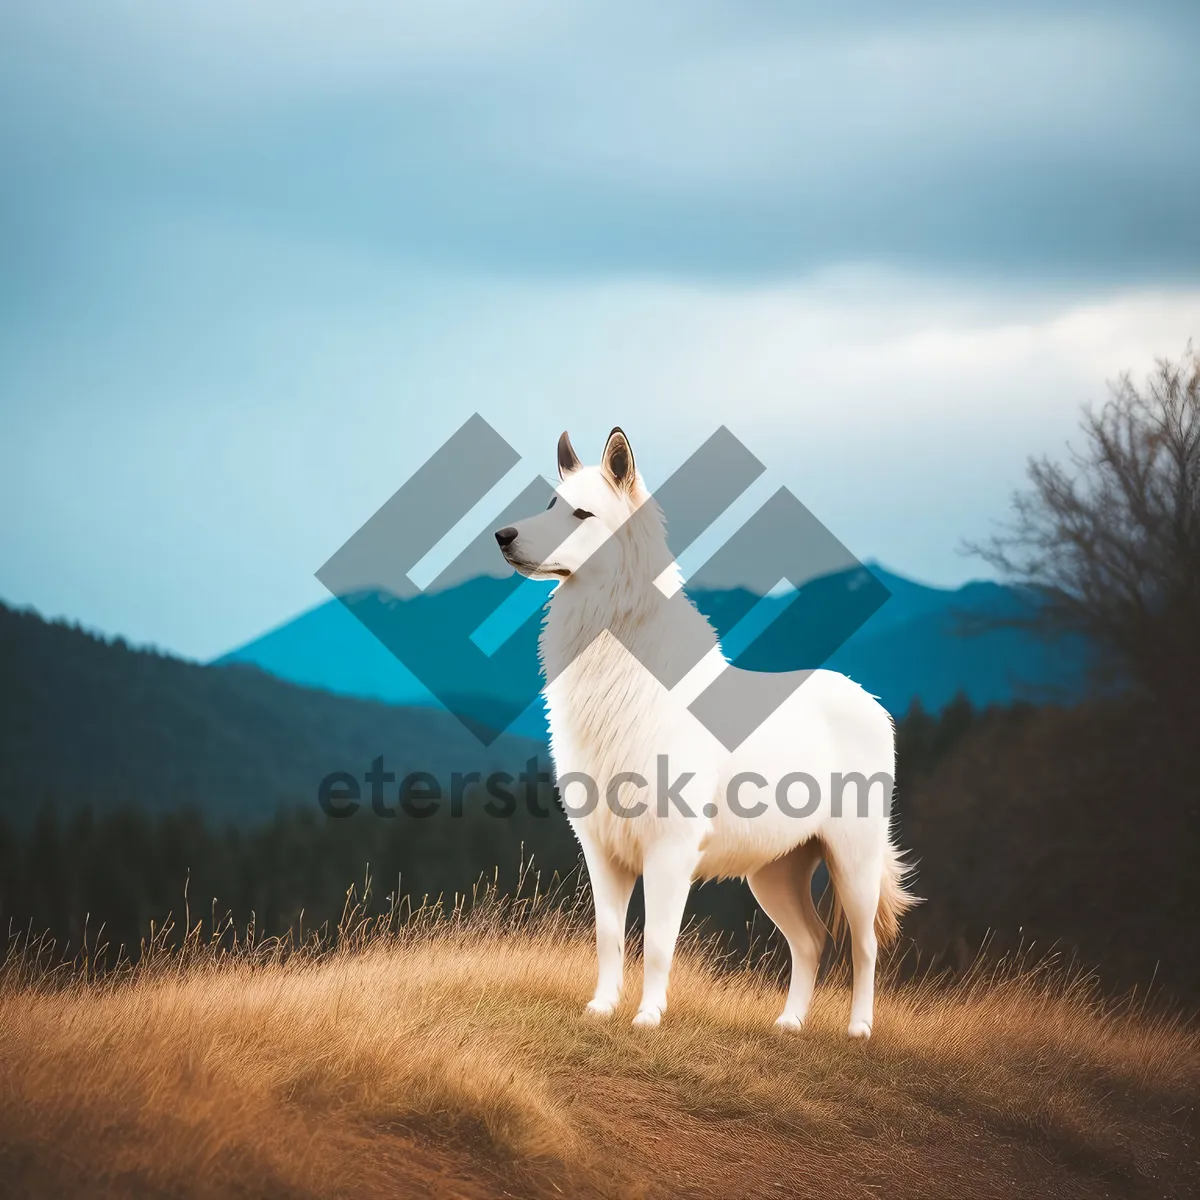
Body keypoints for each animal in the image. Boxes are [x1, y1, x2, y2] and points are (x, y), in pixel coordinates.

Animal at [492, 427, 912, 1036]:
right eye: (549, 504)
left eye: (580, 513)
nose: (502, 535)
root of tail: (874, 703)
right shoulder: (601, 849)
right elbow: (609, 939)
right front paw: (601, 1010)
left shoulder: (670, 850)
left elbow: (658, 945)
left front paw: (647, 1018)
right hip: (774, 872)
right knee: (811, 941)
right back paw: (789, 1025)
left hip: (853, 859)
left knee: (864, 946)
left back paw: (858, 1030)